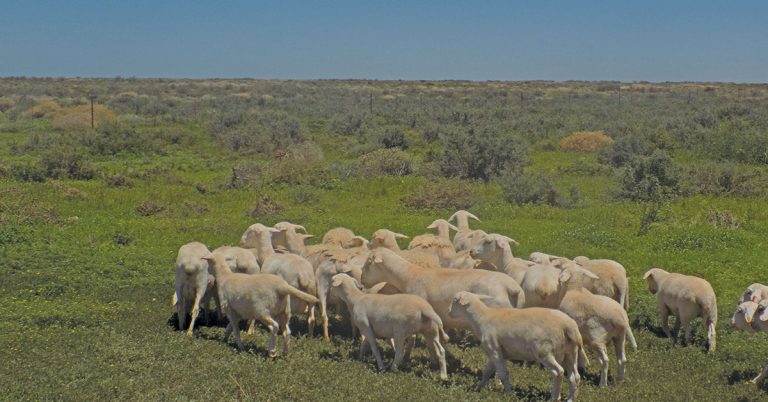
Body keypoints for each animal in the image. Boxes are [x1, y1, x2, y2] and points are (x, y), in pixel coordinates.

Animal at [444, 290, 584, 400]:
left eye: (454, 300)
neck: (481, 318)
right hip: (570, 352)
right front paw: (478, 388)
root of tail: (569, 326)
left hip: (544, 351)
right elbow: (487, 371)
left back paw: (554, 398)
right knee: (575, 377)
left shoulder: (494, 350)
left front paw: (508, 393)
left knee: (558, 372)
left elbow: (503, 374)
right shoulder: (496, 351)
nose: (448, 312)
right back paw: (570, 399)